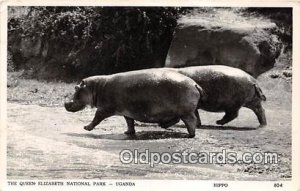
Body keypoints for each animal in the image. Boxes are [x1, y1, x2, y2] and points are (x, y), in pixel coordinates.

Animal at [65, 68, 206, 137]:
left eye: (76, 88)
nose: (65, 103)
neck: (96, 88)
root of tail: (195, 84)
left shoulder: (104, 109)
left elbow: (96, 118)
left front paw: (86, 127)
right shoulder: (127, 111)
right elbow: (129, 122)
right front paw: (128, 133)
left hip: (186, 112)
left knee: (191, 121)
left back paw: (191, 135)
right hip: (177, 111)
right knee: (177, 119)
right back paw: (164, 125)